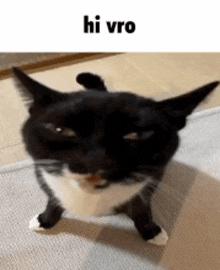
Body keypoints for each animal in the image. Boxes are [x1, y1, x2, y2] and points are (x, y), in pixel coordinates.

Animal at [12, 66, 218, 246]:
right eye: (61, 130)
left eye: (137, 135)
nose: (94, 160)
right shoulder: (42, 174)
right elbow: (52, 200)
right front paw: (45, 220)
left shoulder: (147, 185)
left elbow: (141, 208)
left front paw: (151, 232)